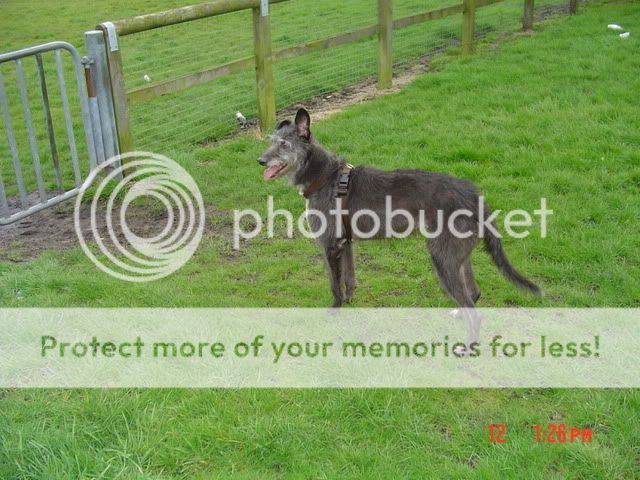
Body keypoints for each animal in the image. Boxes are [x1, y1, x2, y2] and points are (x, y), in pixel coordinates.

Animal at [258, 108, 544, 314]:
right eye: (271, 141)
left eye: (284, 144)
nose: (260, 160)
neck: (324, 175)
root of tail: (474, 194)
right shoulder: (345, 242)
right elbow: (349, 279)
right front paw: (349, 302)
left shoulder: (330, 244)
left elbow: (334, 284)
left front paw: (334, 310)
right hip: (459, 254)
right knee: (474, 294)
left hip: (443, 255)